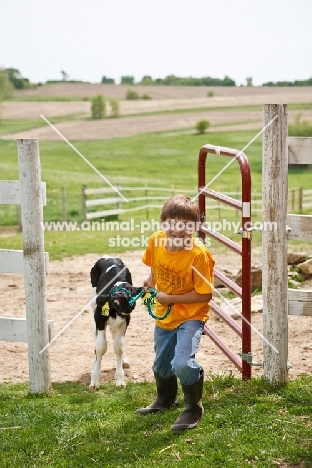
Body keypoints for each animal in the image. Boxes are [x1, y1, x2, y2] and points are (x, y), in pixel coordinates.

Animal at [89, 254, 143, 390]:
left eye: (130, 289)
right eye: (114, 291)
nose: (120, 294)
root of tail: (108, 256)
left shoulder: (125, 320)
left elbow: (118, 347)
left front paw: (120, 380)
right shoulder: (99, 317)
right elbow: (100, 346)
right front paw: (95, 380)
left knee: (114, 334)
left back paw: (124, 361)